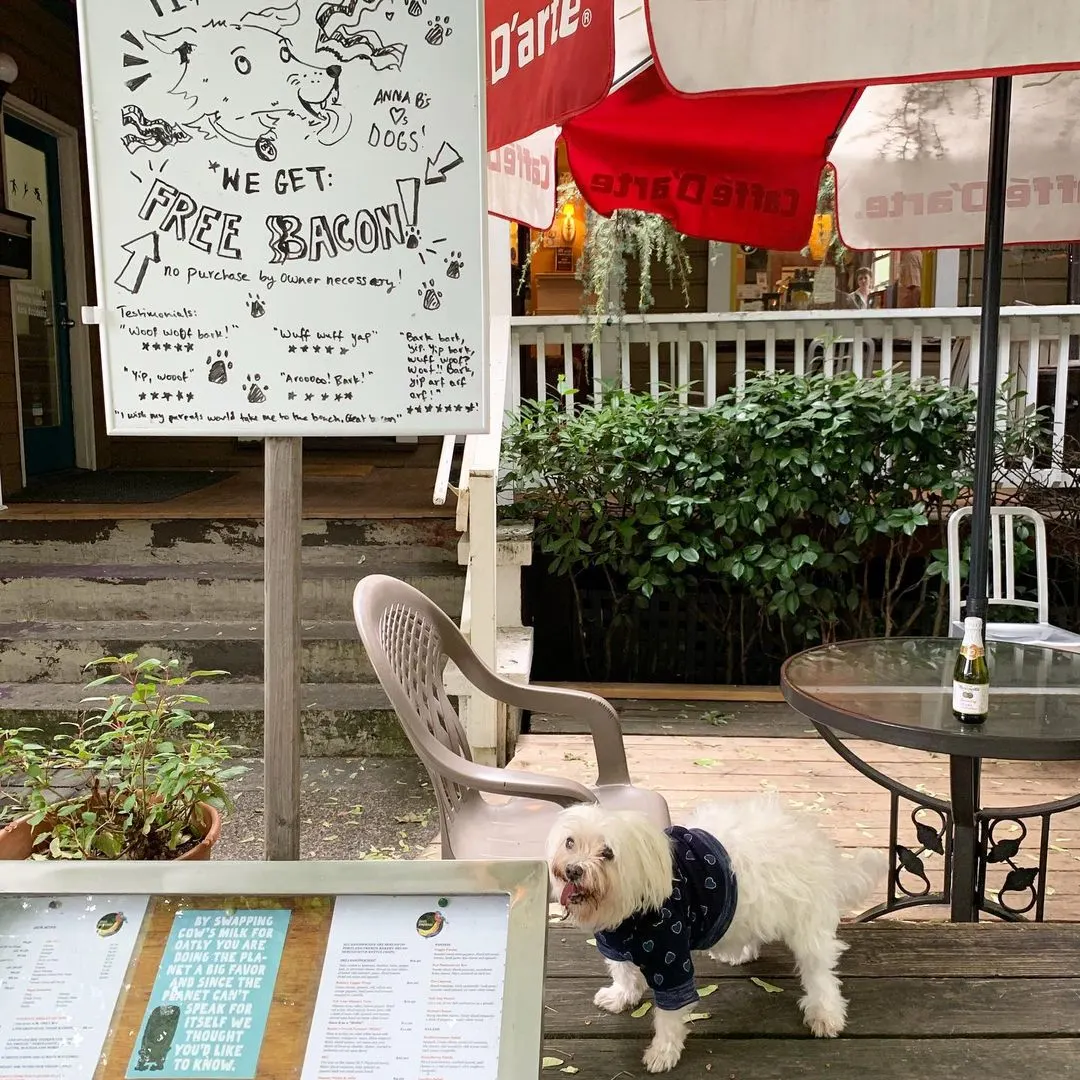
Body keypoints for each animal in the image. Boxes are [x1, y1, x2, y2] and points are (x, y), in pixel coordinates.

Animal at [548, 794, 885, 1071]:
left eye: (608, 853)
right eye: (570, 842)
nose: (573, 870)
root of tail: (818, 842)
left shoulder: (671, 959)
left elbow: (670, 1012)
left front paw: (663, 1052)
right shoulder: (614, 943)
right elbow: (623, 973)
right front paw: (621, 997)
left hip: (807, 926)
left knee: (820, 974)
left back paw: (825, 1013)